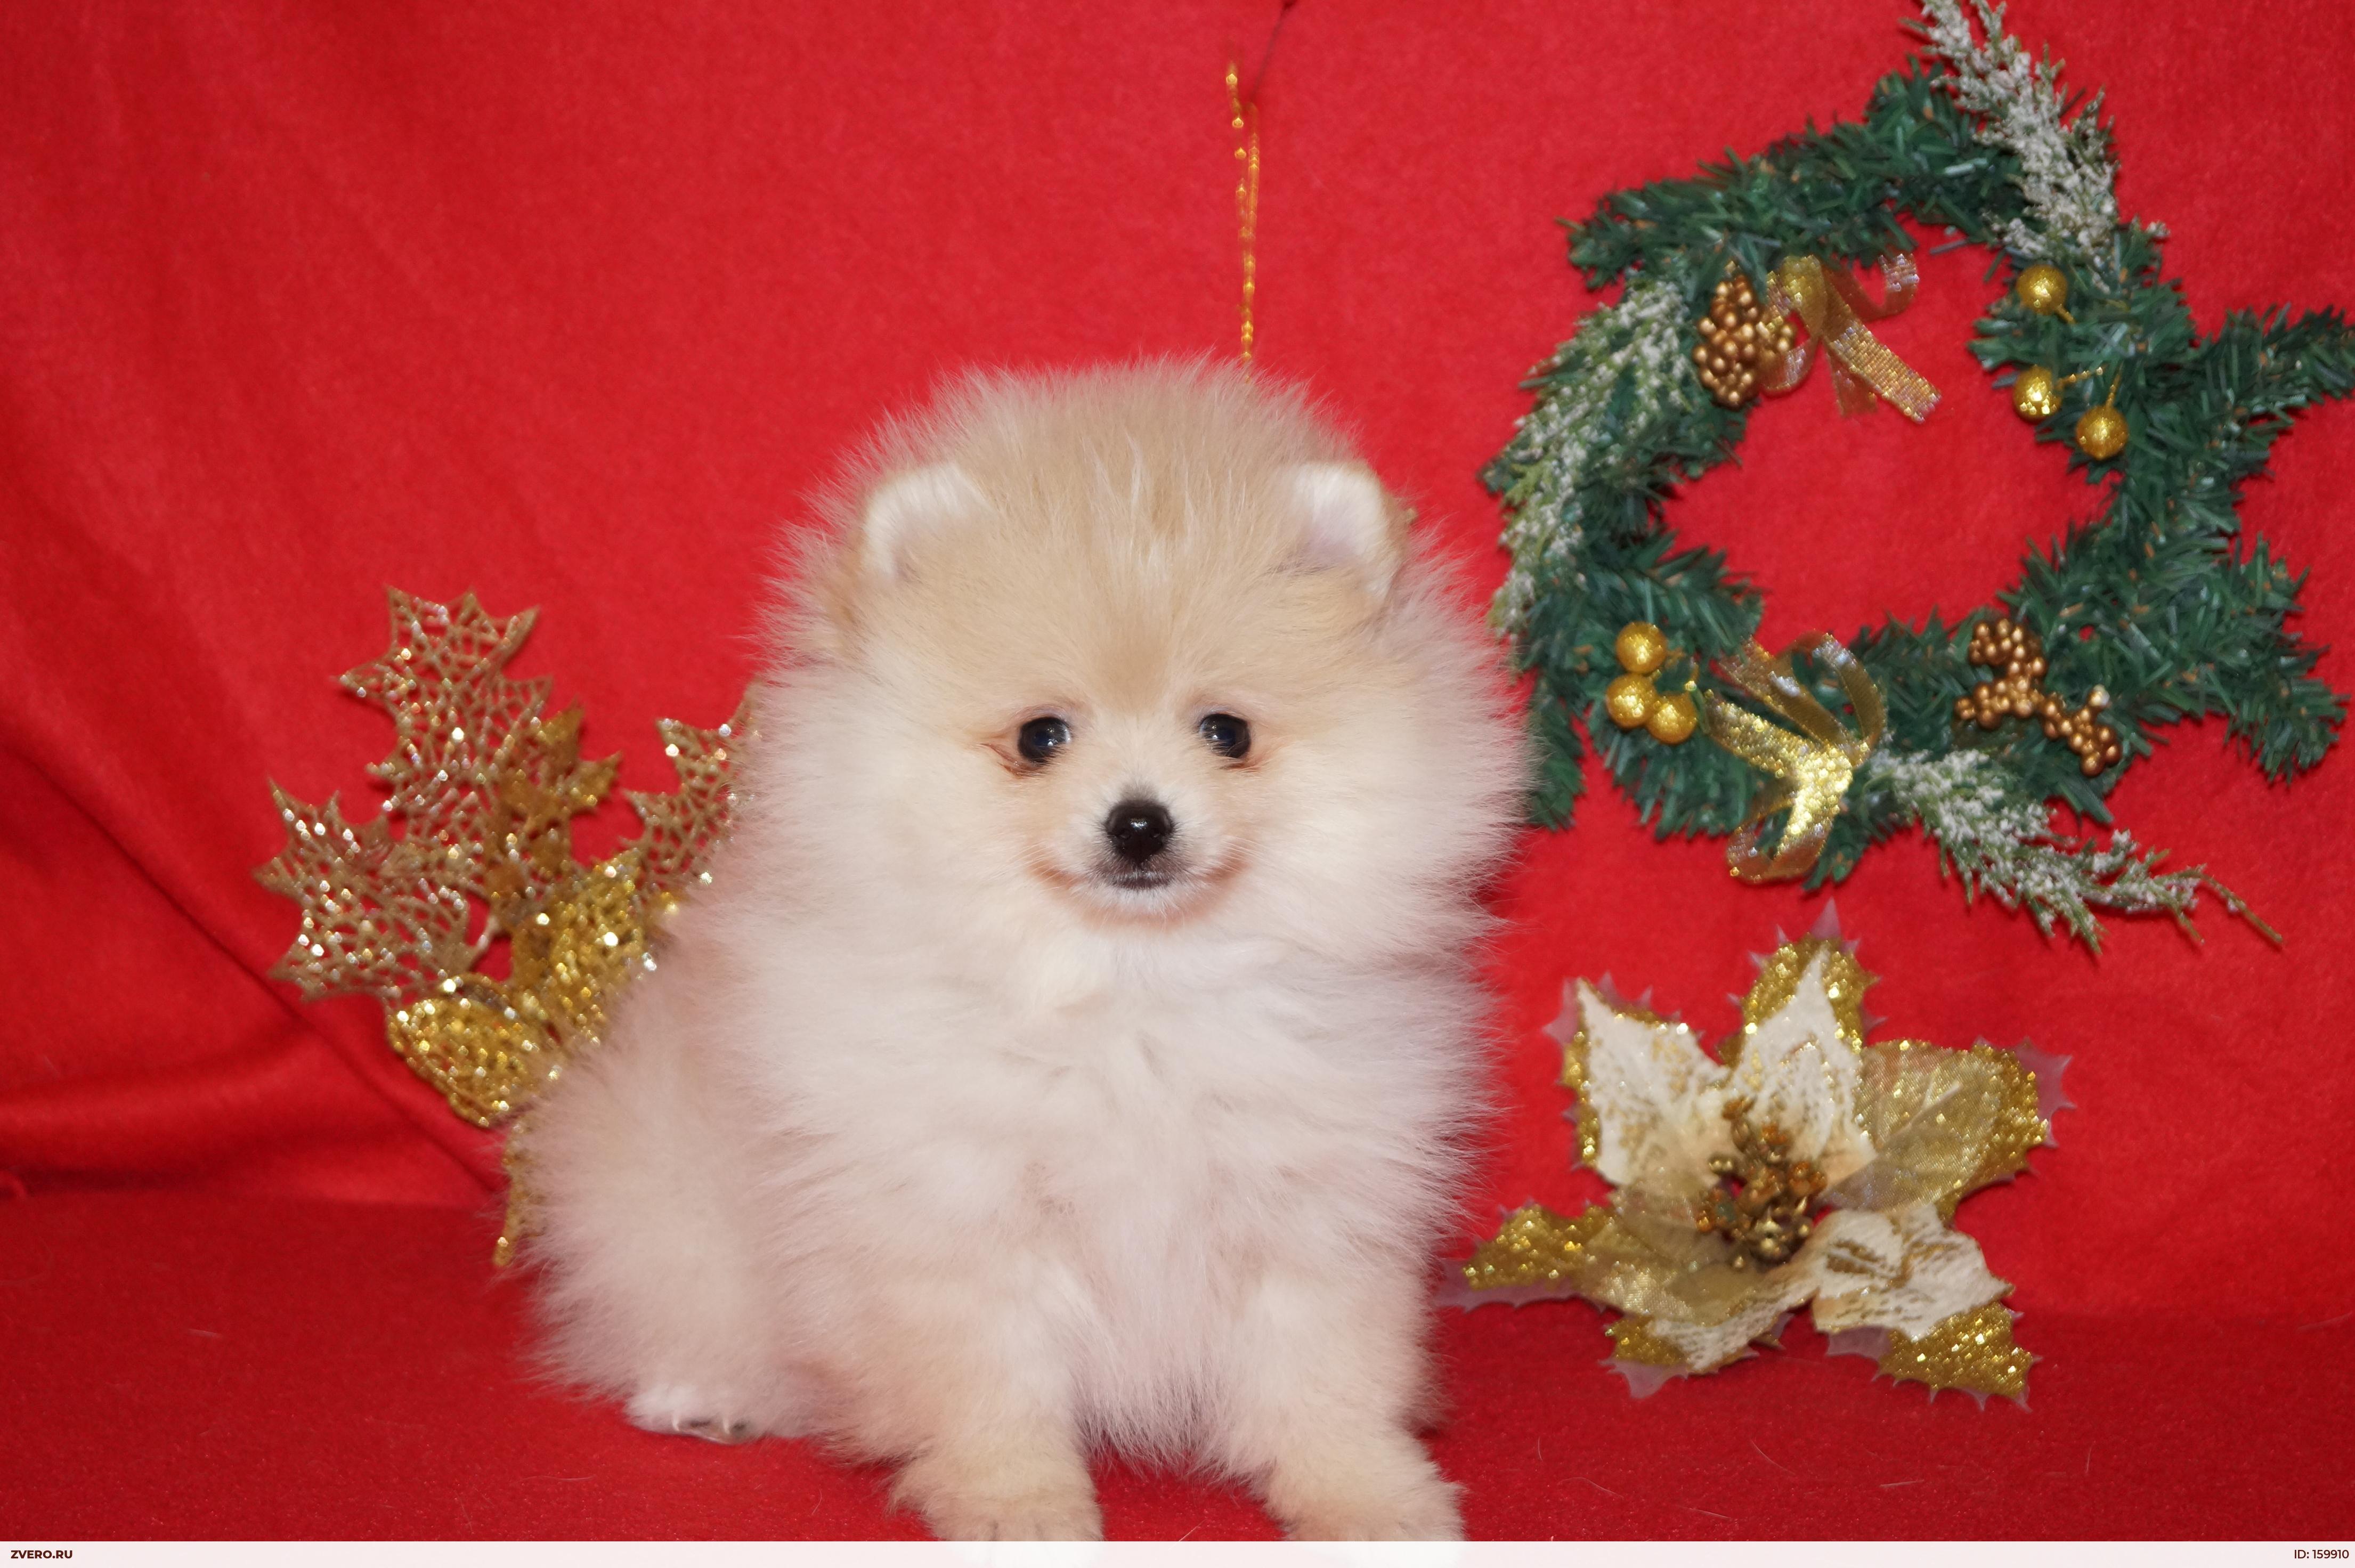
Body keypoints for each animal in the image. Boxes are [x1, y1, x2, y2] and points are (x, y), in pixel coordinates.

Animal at [514, 361, 1526, 1539]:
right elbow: (990, 1389)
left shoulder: (1313, 1205)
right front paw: (1020, 1506)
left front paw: (1371, 1495)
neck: (1132, 991)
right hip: (668, 1205)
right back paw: (702, 1390)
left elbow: (1326, 1379)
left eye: (1225, 732)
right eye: (1041, 736)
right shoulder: (956, 1217)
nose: (1139, 821)